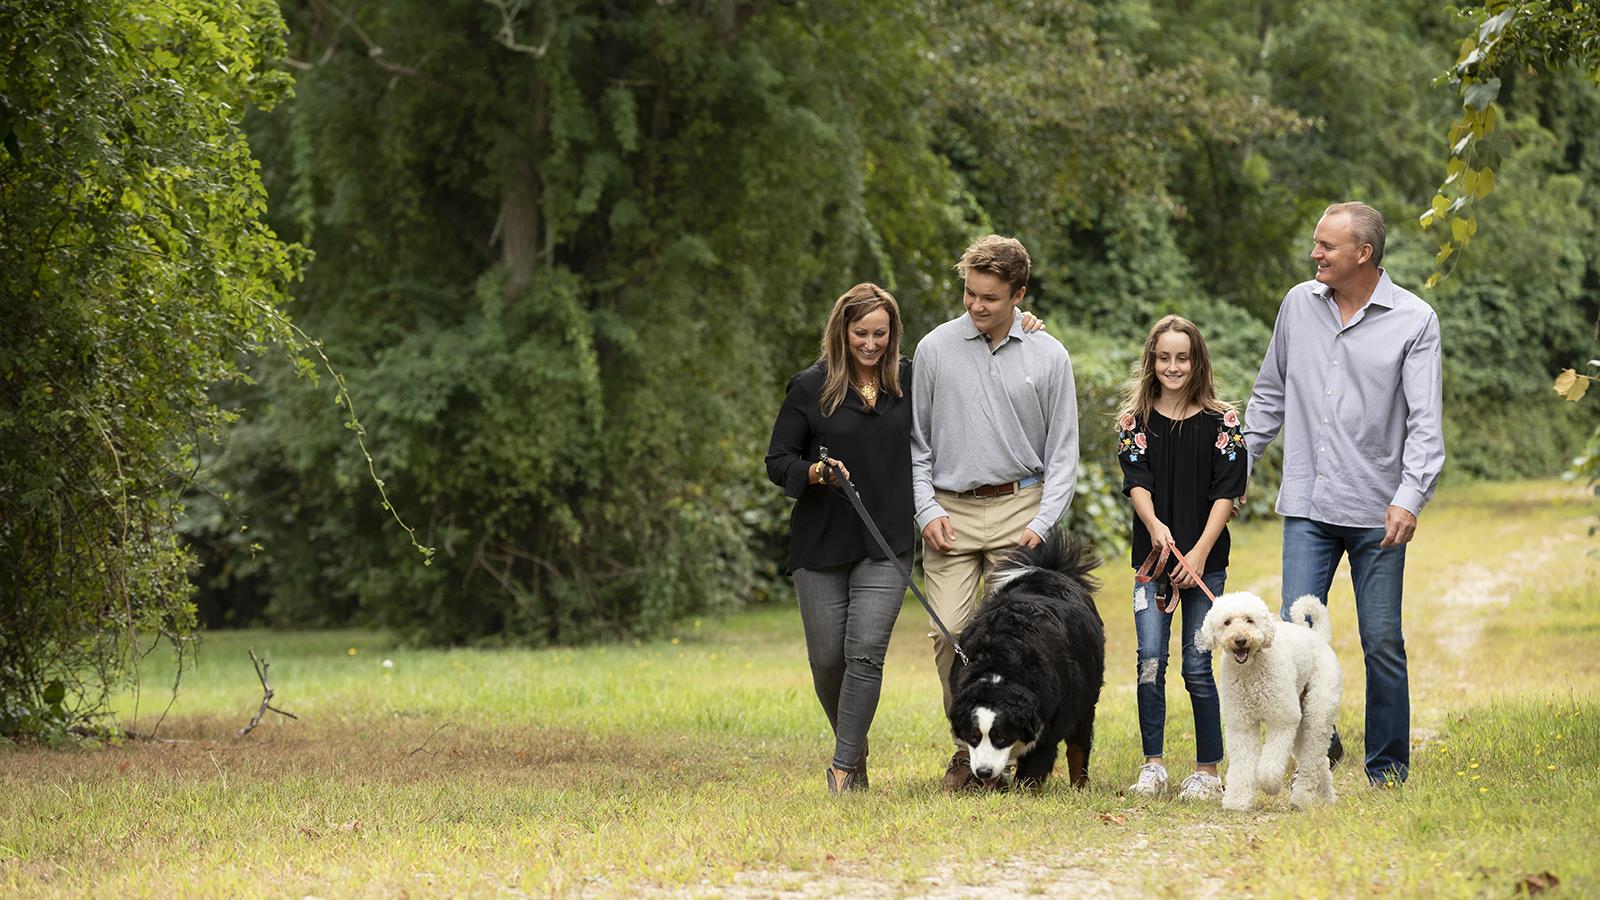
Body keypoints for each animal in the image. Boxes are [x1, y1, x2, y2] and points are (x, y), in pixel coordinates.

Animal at [947, 528, 1100, 787]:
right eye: (973, 737)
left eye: (1000, 738)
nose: (984, 772)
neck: (1000, 666)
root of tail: (1050, 571)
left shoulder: (1049, 722)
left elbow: (1032, 771)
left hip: (1085, 698)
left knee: (1078, 747)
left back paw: (1079, 785)